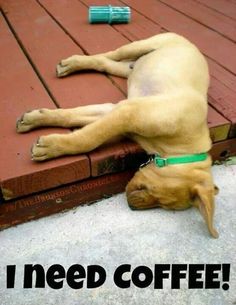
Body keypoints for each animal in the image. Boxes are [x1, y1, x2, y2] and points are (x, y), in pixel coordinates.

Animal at [16, 33, 219, 238]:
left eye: (161, 205)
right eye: (158, 198)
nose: (130, 206)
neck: (181, 149)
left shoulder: (117, 110)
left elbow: (74, 118)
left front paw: (35, 120)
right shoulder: (128, 113)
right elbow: (88, 138)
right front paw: (49, 147)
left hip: (129, 68)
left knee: (106, 64)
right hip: (141, 46)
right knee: (108, 55)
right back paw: (73, 62)